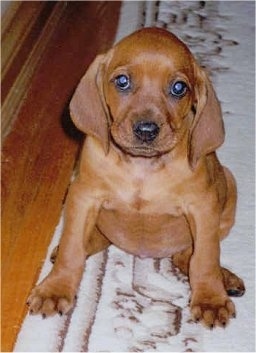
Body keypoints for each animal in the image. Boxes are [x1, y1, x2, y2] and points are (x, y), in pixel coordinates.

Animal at [27, 26, 245, 328]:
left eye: (179, 88)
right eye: (122, 81)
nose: (146, 130)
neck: (142, 168)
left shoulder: (203, 208)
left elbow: (205, 257)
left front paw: (210, 299)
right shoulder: (84, 197)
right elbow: (72, 247)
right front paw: (56, 288)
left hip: (228, 186)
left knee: (186, 256)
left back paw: (225, 279)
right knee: (93, 240)